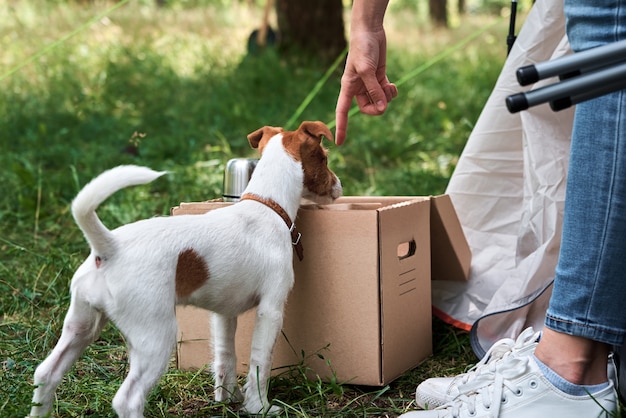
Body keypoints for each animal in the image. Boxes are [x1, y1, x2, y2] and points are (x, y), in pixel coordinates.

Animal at [29, 119, 342, 416]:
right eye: (325, 158)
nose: (338, 186)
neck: (267, 205)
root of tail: (109, 247)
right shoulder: (271, 310)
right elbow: (259, 362)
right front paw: (259, 406)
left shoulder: (223, 313)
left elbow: (225, 355)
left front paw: (228, 397)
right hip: (156, 336)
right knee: (128, 400)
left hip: (81, 326)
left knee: (46, 373)